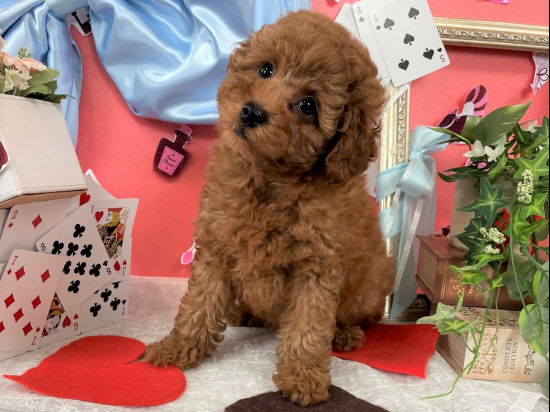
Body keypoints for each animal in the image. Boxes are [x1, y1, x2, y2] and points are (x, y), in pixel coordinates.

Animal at [146, 11, 395, 406]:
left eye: (308, 105)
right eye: (265, 70)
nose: (251, 112)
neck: (269, 177)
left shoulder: (317, 265)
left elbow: (308, 326)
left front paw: (303, 377)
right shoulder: (216, 246)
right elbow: (199, 304)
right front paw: (177, 348)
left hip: (373, 282)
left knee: (359, 316)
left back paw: (345, 333)